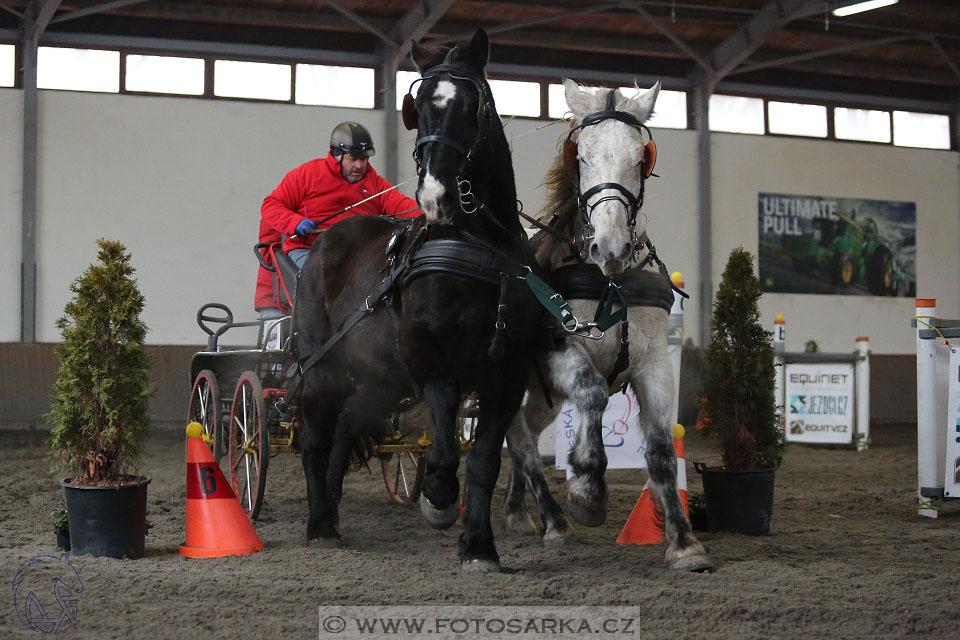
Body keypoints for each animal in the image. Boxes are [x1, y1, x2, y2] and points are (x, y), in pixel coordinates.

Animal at [292, 27, 544, 572]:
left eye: (473, 104)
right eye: (420, 106)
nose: (434, 197)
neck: (480, 251)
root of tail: (325, 237)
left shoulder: (507, 375)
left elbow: (485, 462)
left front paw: (479, 546)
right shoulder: (433, 365)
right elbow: (447, 451)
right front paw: (438, 499)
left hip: (380, 377)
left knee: (346, 427)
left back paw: (334, 506)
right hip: (322, 368)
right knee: (316, 438)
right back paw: (320, 525)